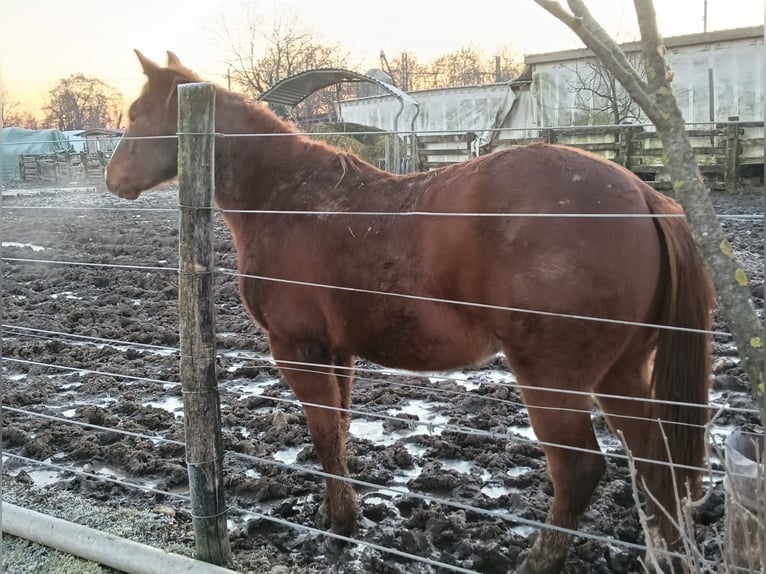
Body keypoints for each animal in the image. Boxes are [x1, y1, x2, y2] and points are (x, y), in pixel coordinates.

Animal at [106, 51, 714, 573]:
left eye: (136, 114)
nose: (113, 180)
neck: (287, 199)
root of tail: (643, 195)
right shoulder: (337, 352)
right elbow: (339, 431)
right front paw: (341, 512)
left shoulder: (297, 348)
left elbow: (322, 432)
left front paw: (342, 526)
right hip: (621, 372)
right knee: (657, 463)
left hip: (553, 378)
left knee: (579, 470)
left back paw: (538, 560)